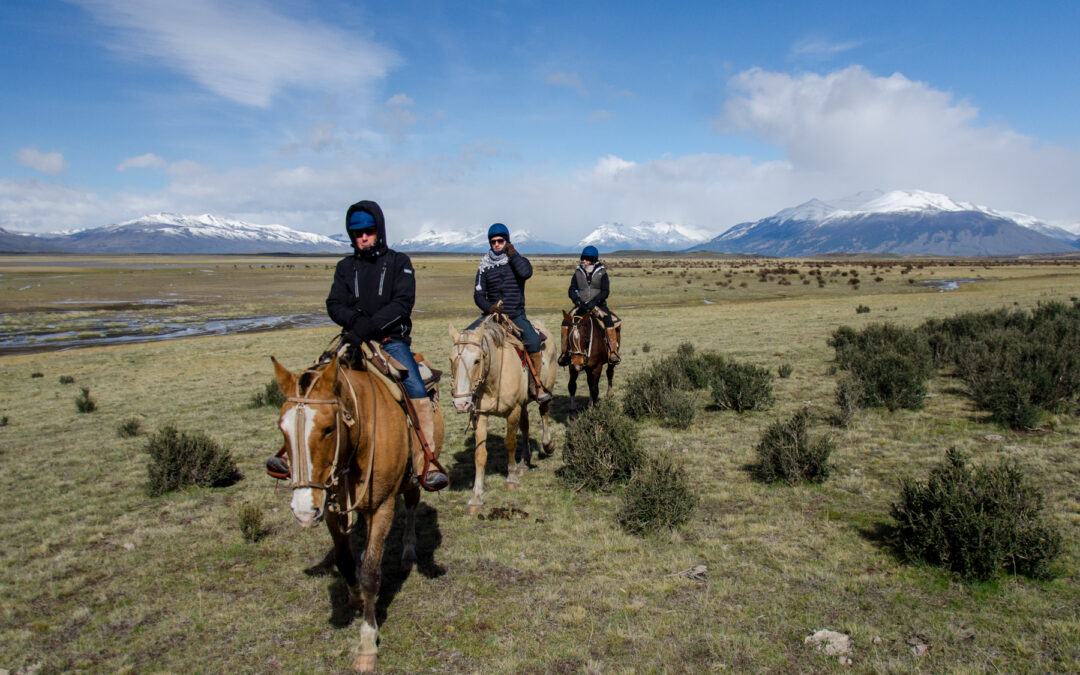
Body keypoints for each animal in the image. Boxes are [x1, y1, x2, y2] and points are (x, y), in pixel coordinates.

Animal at [270, 356, 442, 669]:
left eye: (328, 428)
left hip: (413, 479)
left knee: (412, 506)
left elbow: (372, 573)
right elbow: (345, 560)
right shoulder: (329, 507)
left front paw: (367, 643)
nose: (302, 510)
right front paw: (357, 598)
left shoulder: (383, 505)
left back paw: (408, 551)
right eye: (282, 428)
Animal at [449, 313, 557, 514]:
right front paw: (476, 496)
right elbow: (480, 454)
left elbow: (510, 443)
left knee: (544, 412)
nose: (461, 404)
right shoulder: (480, 415)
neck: (493, 380)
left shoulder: (512, 411)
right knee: (525, 426)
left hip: (546, 388)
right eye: (451, 360)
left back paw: (548, 445)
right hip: (523, 403)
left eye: (477, 360)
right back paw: (524, 462)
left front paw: (511, 478)